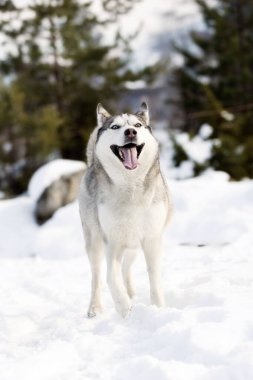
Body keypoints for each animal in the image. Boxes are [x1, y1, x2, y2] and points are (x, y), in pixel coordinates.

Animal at [78, 101, 171, 318]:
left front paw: (159, 308)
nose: (130, 132)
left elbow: (154, 277)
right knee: (97, 276)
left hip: (134, 245)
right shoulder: (112, 241)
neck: (131, 188)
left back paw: (131, 292)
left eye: (137, 125)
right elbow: (110, 277)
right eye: (115, 127)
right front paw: (123, 306)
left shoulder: (152, 239)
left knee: (126, 268)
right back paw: (95, 308)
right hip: (94, 241)